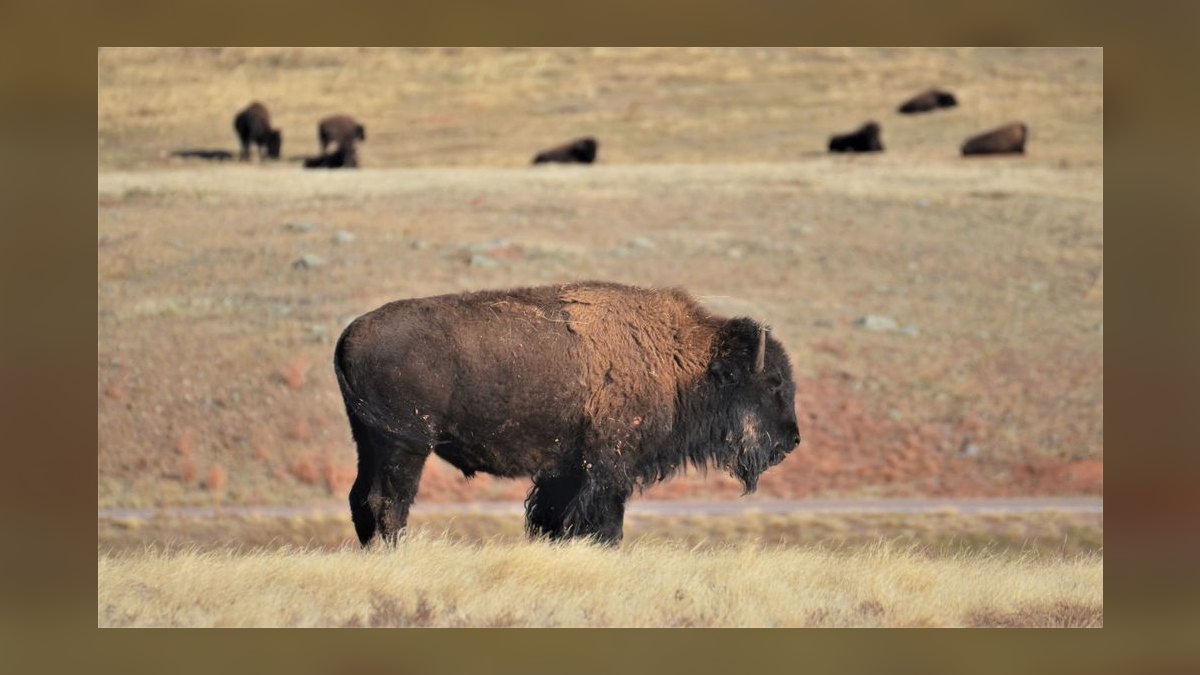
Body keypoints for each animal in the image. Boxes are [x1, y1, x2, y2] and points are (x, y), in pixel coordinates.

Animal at [334, 281, 802, 546]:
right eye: (773, 383)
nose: (793, 439)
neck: (677, 360)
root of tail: (348, 337)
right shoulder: (608, 467)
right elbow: (604, 523)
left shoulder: (565, 470)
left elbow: (552, 519)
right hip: (405, 446)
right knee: (388, 501)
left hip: (367, 441)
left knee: (361, 498)